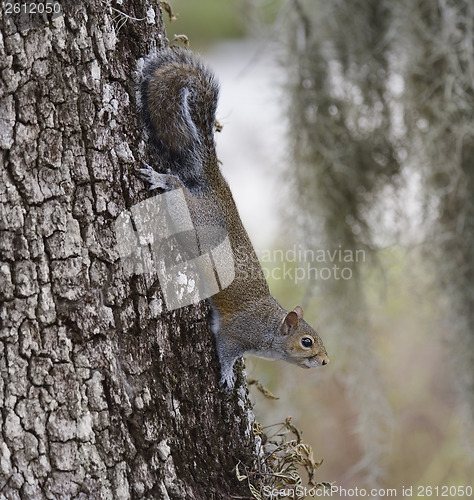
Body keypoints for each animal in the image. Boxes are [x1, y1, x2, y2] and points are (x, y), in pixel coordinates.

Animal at [137, 47, 328, 388]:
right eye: (307, 342)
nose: (325, 361)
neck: (269, 327)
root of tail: (217, 185)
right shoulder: (235, 333)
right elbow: (226, 351)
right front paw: (227, 376)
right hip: (192, 219)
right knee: (178, 191)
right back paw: (164, 180)